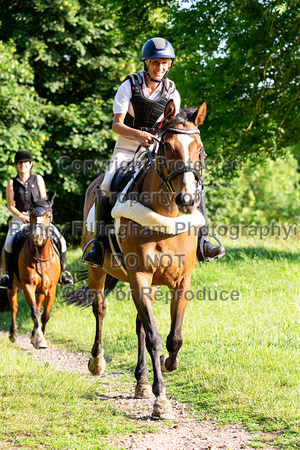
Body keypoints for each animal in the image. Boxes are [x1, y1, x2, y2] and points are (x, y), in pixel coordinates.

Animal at [1, 196, 60, 348]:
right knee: (14, 308)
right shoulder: (28, 286)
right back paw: (13, 334)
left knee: (38, 307)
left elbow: (45, 314)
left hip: (41, 291)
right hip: (12, 286)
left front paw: (40, 335)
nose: (36, 238)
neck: (41, 255)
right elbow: (34, 312)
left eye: (49, 215)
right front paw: (38, 338)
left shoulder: (51, 289)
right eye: (32, 215)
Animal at [72, 100, 206, 420]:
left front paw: (169, 365)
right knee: (100, 309)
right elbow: (155, 336)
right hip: (98, 272)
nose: (187, 200)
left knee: (139, 326)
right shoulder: (139, 277)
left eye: (200, 149)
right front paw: (161, 400)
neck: (166, 215)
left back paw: (141, 382)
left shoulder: (181, 281)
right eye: (167, 146)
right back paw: (97, 362)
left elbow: (173, 337)